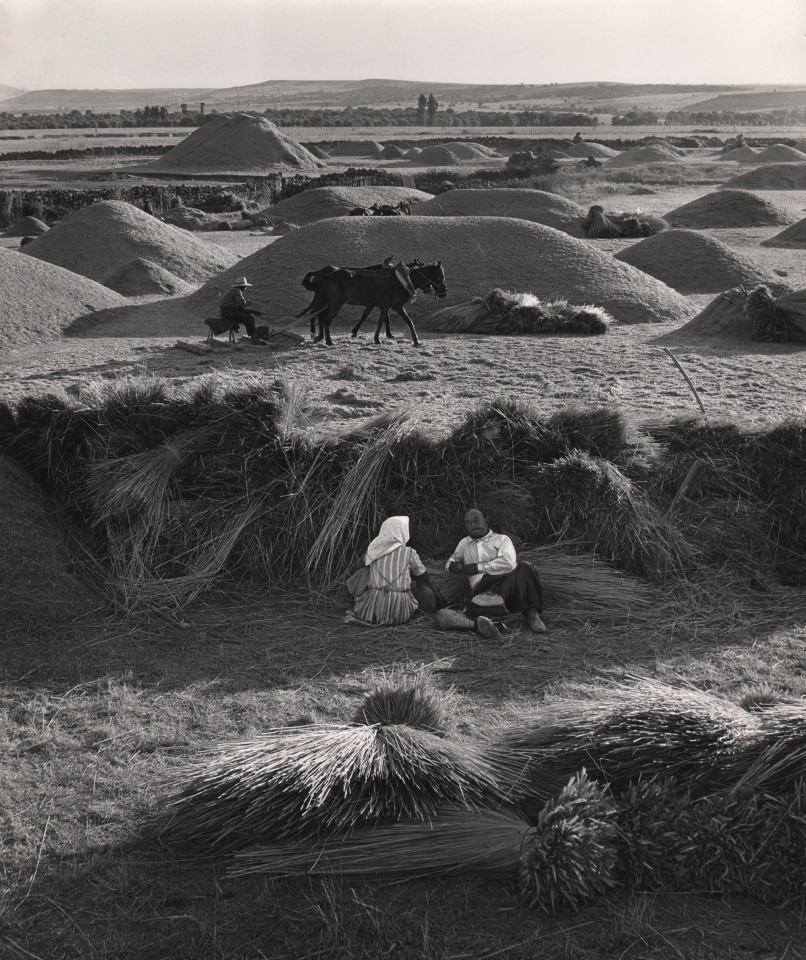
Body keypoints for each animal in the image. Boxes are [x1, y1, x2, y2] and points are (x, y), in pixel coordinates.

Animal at [298, 260, 448, 346]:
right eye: (440, 277)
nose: (444, 293)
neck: (401, 279)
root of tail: (326, 275)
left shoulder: (384, 305)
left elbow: (381, 320)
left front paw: (377, 338)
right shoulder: (396, 306)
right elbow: (407, 321)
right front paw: (416, 341)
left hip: (325, 301)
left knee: (319, 316)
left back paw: (319, 337)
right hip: (336, 303)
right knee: (326, 319)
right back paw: (328, 341)